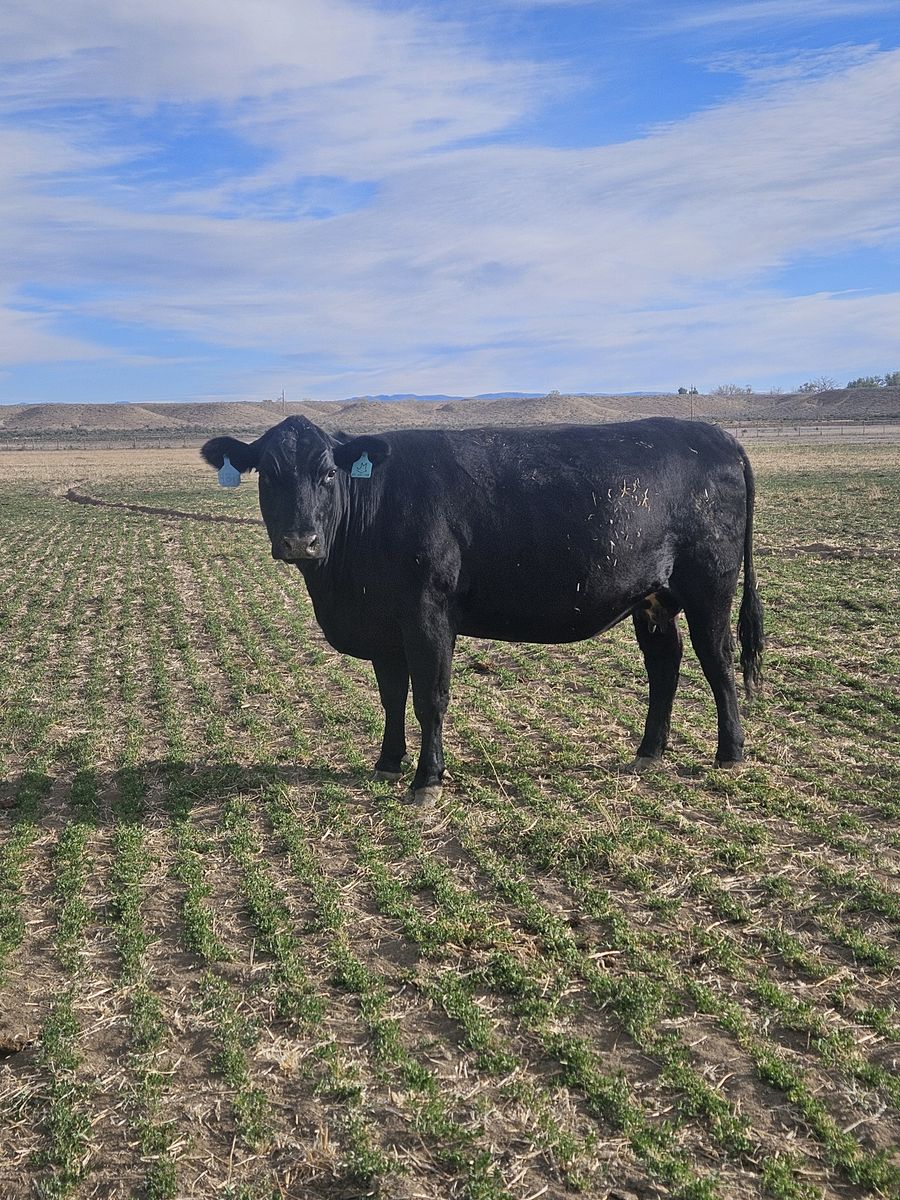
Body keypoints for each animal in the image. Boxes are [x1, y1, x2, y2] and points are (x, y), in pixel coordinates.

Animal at [202, 416, 763, 801]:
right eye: (268, 474)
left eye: (325, 473)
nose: (301, 541)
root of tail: (720, 436)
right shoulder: (384, 626)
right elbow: (391, 698)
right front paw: (387, 763)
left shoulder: (428, 616)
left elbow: (429, 698)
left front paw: (427, 780)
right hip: (652, 597)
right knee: (665, 664)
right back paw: (648, 753)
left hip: (710, 586)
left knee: (718, 661)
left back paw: (730, 753)